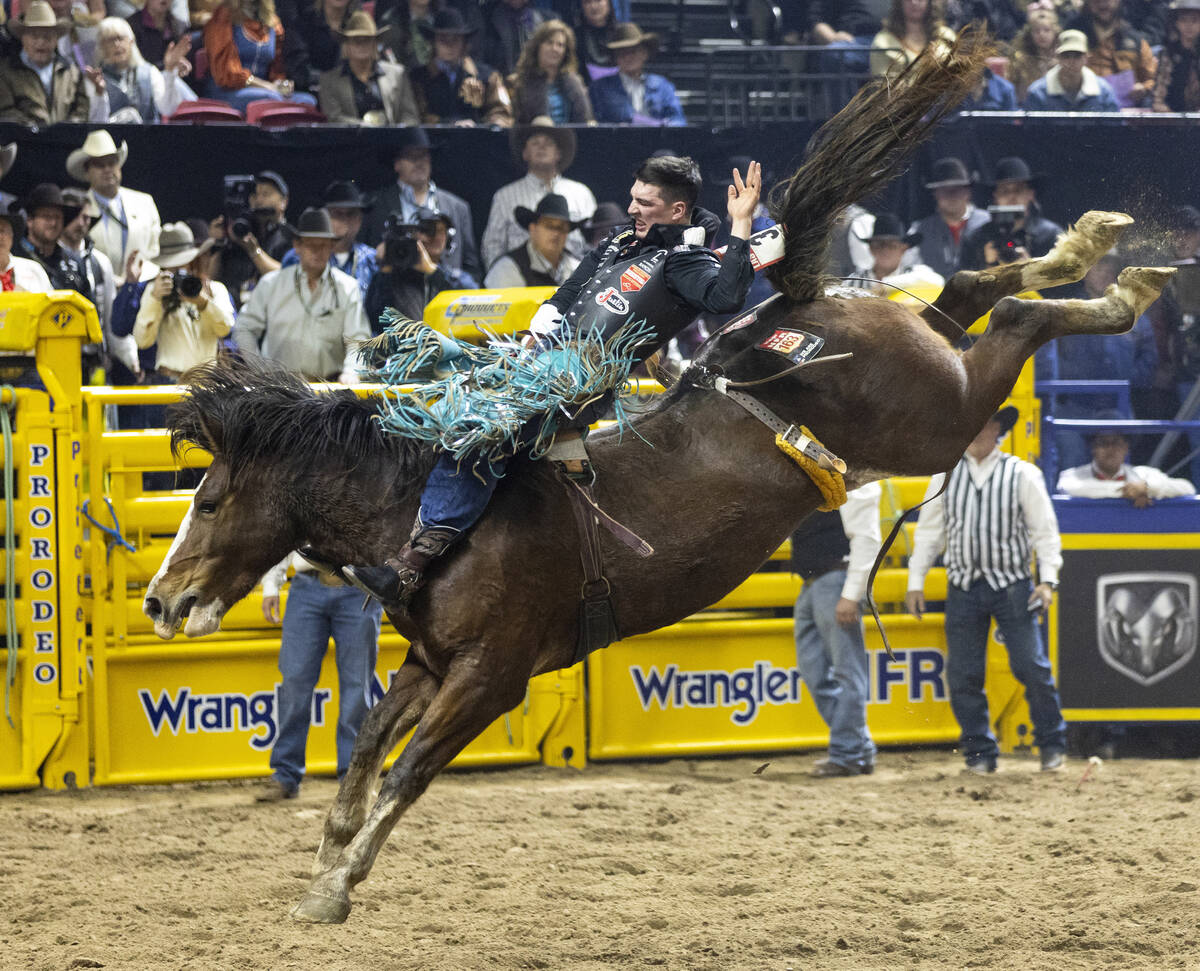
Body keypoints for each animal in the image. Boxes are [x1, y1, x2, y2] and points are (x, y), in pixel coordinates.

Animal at [140, 32, 1171, 926]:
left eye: (210, 498)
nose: (159, 600)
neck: (418, 516)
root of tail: (793, 319)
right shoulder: (429, 662)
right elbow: (360, 750)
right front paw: (326, 866)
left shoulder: (489, 677)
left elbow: (406, 772)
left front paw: (337, 884)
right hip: (926, 361)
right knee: (966, 295)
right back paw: (1087, 249)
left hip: (937, 417)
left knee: (1018, 325)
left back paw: (1121, 276)